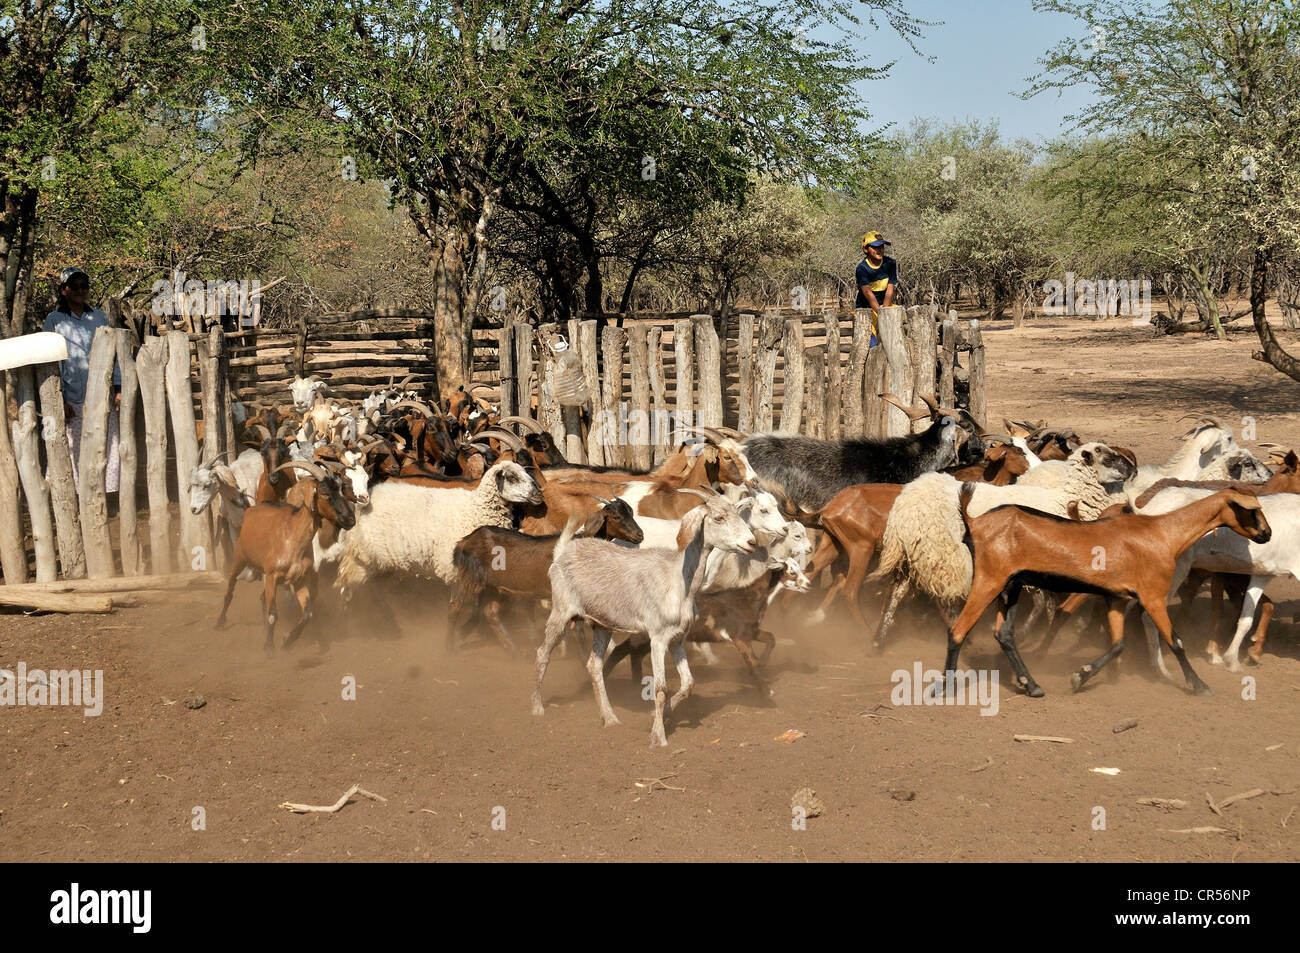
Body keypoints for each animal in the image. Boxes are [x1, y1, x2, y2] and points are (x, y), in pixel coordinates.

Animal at [527, 491, 754, 748]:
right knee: (542, 653)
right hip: (561, 611)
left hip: (602, 625)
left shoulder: (677, 638)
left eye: (738, 513)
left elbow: (688, 683)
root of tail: (562, 552)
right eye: (718, 517)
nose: (752, 543)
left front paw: (660, 714)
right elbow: (660, 688)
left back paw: (610, 718)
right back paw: (537, 707)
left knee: (594, 665)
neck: (677, 579)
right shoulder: (658, 638)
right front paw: (658, 737)